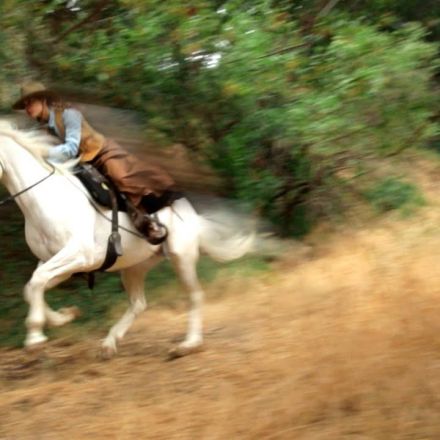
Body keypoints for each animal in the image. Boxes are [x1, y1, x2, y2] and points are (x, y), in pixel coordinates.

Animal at [0, 120, 255, 359]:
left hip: (181, 257)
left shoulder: (79, 255)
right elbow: (32, 287)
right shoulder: (56, 261)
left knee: (195, 296)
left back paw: (188, 345)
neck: (45, 199)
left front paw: (35, 338)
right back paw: (109, 343)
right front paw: (63, 317)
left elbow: (36, 282)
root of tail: (193, 215)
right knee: (139, 303)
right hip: (134, 267)